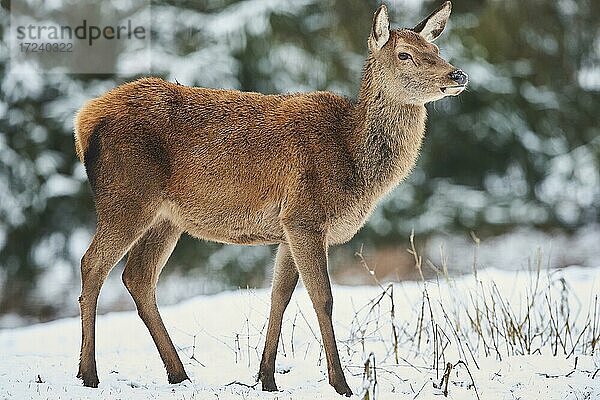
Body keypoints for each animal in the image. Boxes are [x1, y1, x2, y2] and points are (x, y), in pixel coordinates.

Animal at [74, 1, 468, 396]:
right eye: (405, 54)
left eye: (436, 48)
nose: (458, 74)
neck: (354, 160)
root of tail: (84, 122)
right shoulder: (305, 216)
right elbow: (323, 298)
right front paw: (341, 383)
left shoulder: (287, 228)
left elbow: (280, 296)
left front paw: (266, 377)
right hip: (127, 197)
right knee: (92, 264)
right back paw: (89, 374)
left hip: (166, 219)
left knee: (138, 277)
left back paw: (178, 373)